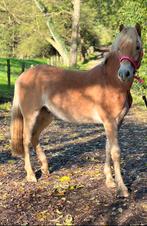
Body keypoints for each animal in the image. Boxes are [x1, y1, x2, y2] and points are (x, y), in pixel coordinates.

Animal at [10, 24, 142, 196]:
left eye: (138, 46)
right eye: (119, 49)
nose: (124, 73)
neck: (112, 83)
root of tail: (22, 76)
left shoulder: (116, 123)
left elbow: (107, 148)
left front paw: (110, 181)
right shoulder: (110, 122)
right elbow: (115, 152)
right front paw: (122, 188)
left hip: (46, 115)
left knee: (34, 137)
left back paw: (45, 168)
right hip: (30, 115)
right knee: (26, 140)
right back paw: (31, 175)